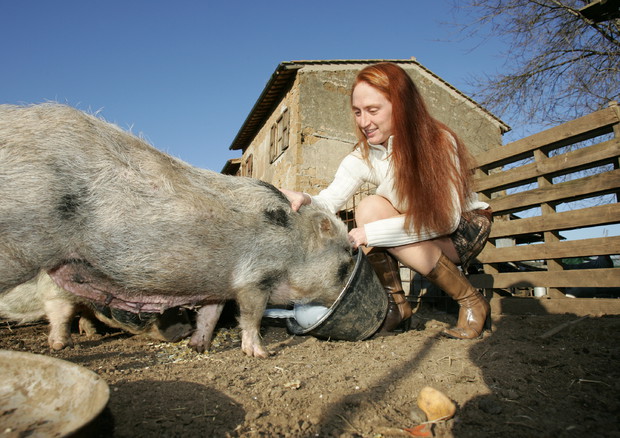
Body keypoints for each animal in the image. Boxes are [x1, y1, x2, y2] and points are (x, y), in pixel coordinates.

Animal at [0, 270, 194, 350]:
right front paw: (62, 346)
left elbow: (87, 312)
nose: (185, 331)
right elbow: (63, 315)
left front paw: (93, 333)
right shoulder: (55, 294)